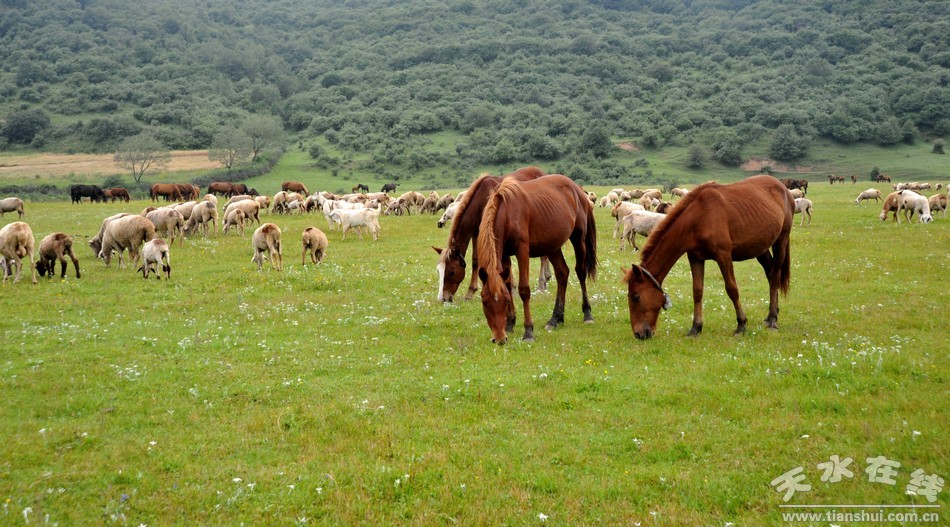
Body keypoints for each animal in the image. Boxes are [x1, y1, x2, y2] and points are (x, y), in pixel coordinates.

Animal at [433, 166, 550, 302]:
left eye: (451, 272)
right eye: (438, 271)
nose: (443, 298)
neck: (482, 200)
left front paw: (512, 289)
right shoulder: (476, 232)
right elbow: (475, 260)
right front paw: (470, 291)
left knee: (543, 256)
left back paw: (542, 284)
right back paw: (547, 277)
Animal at [476, 174, 597, 344]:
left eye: (506, 301)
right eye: (484, 301)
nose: (499, 339)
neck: (507, 211)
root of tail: (577, 189)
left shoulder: (522, 250)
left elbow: (524, 290)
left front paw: (528, 331)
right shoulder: (505, 255)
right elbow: (508, 285)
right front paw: (510, 324)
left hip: (578, 239)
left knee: (580, 272)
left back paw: (587, 314)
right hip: (552, 246)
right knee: (562, 273)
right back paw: (555, 319)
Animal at [623, 175, 793, 339]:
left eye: (636, 297)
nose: (639, 334)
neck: (697, 218)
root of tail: (784, 188)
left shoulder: (723, 256)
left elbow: (732, 289)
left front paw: (741, 324)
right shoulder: (695, 258)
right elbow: (697, 291)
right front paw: (695, 328)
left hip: (781, 241)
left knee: (775, 276)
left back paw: (772, 319)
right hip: (761, 249)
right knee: (770, 274)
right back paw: (772, 314)